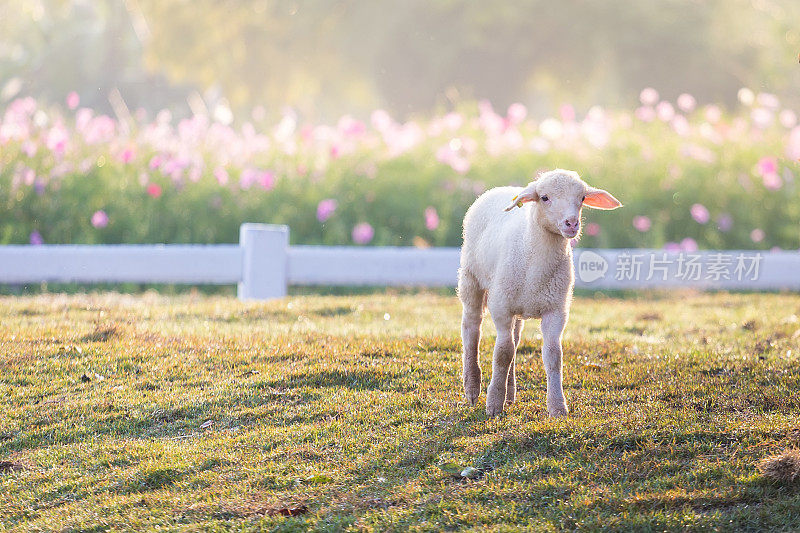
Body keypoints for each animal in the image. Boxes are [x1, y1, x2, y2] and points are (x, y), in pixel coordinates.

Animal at [460, 169, 620, 416]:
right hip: (471, 278)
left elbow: (553, 356)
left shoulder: (556, 310)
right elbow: (502, 353)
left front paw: (557, 407)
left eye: (582, 198)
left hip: (517, 304)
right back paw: (472, 387)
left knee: (515, 340)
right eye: (544, 198)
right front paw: (493, 403)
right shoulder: (501, 307)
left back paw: (510, 392)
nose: (572, 223)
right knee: (471, 327)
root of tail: (498, 189)